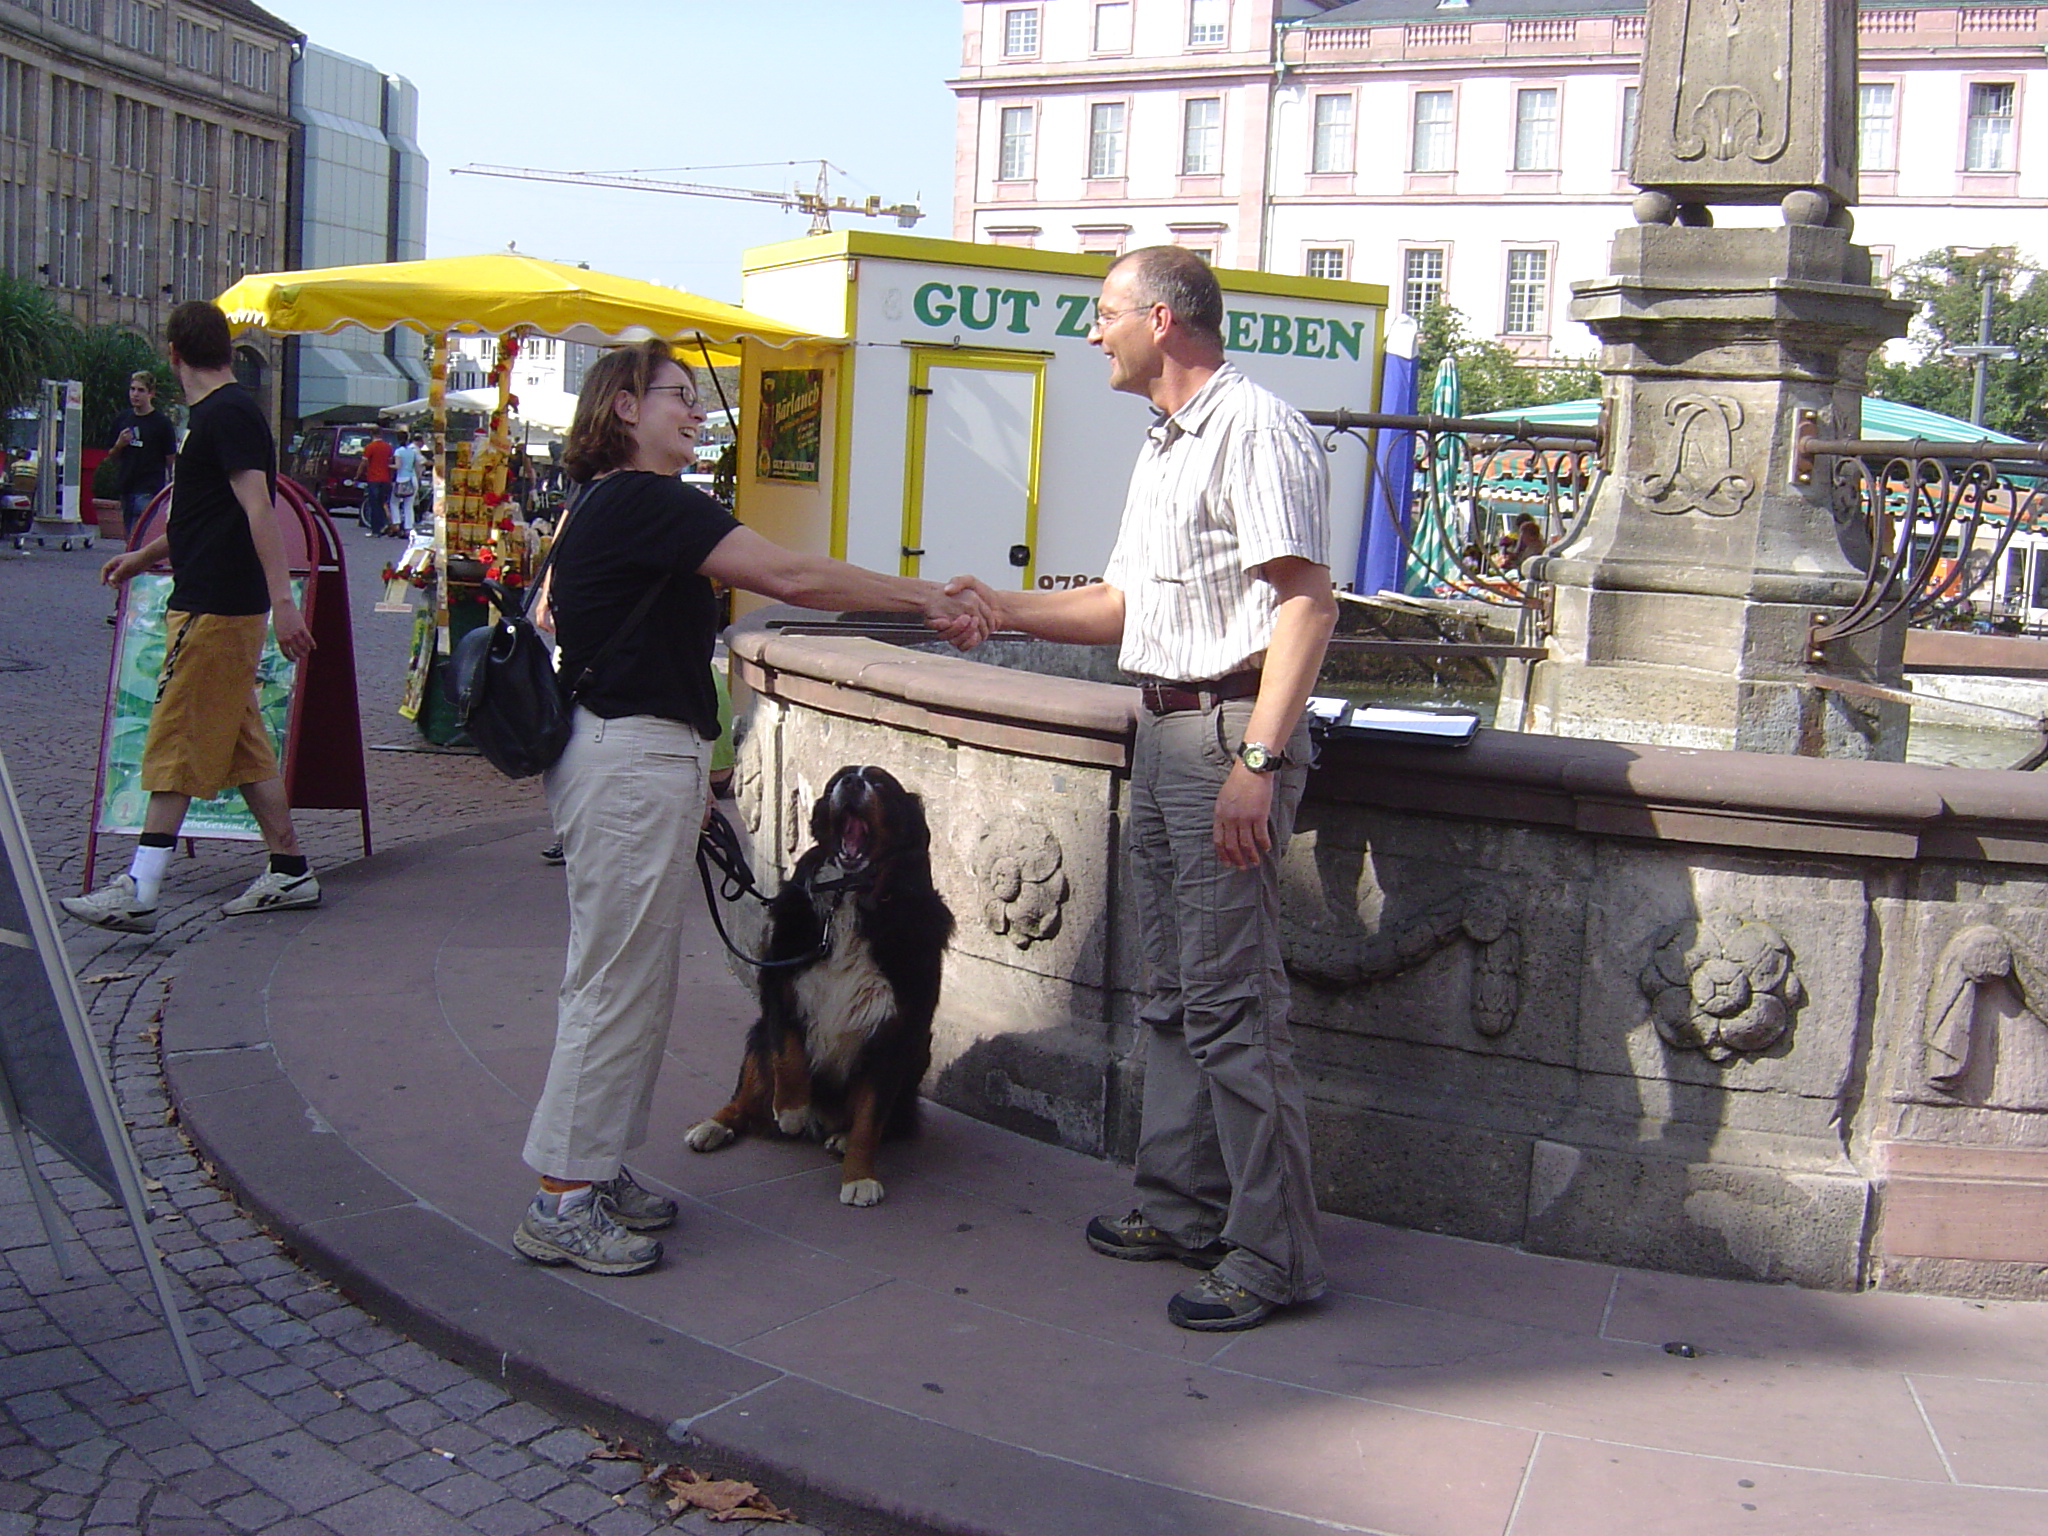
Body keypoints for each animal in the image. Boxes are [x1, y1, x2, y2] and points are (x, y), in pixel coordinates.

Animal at [679, 765, 950, 1212]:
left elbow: (870, 1118)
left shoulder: (896, 1030)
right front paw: (790, 1109)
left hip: (917, 1057)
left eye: (879, 784)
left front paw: (859, 1177)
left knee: (881, 1121)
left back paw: (839, 1137)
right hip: (755, 1038)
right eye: (838, 778)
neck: (849, 897)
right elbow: (788, 1053)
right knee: (747, 1094)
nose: (852, 782)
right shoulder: (779, 982)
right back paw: (715, 1125)